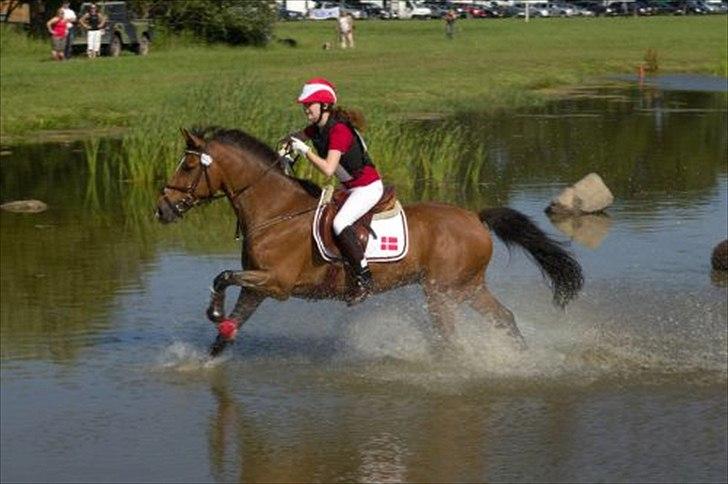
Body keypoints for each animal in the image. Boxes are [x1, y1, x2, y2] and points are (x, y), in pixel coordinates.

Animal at [156, 127, 584, 357]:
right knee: (504, 319)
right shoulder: (257, 285)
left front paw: (213, 312)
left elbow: (222, 276)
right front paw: (205, 358)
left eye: (188, 166)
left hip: (441, 291)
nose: (162, 209)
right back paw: (521, 357)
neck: (276, 211)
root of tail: (475, 218)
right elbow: (230, 325)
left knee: (451, 336)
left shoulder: (276, 283)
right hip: (468, 287)